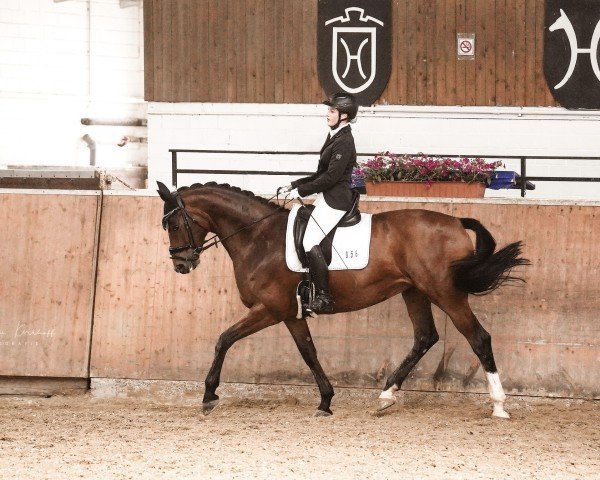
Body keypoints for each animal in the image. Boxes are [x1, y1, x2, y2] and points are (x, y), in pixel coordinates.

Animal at [157, 182, 528, 418]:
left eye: (173, 223)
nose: (181, 265)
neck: (259, 238)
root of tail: (455, 221)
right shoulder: (291, 314)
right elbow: (308, 353)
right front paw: (325, 401)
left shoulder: (271, 309)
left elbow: (224, 339)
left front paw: (209, 396)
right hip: (414, 291)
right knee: (425, 337)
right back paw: (386, 396)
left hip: (445, 292)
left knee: (478, 338)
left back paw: (499, 405)